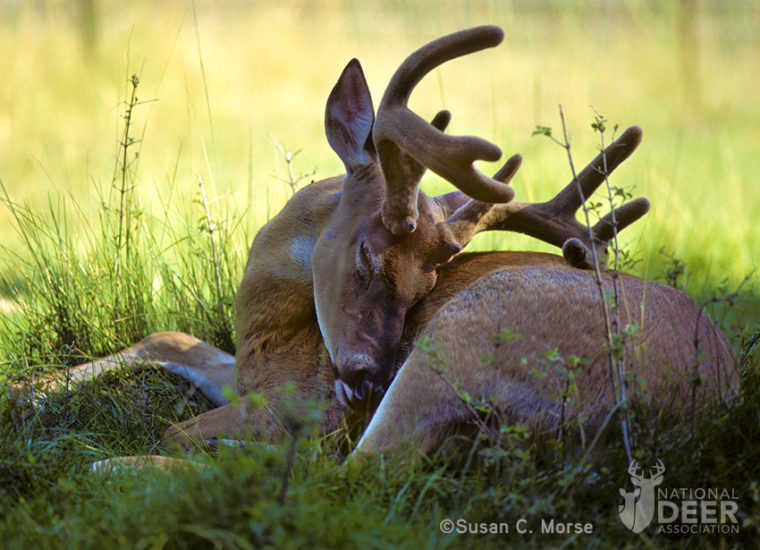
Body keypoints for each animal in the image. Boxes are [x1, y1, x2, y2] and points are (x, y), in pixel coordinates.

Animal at [11, 27, 732, 470]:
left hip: (468, 334)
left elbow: (181, 423)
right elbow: (170, 336)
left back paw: (117, 464)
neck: (268, 332)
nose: (366, 380)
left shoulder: (306, 398)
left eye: (425, 286)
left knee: (348, 475)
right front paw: (23, 389)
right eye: (365, 256)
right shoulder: (256, 374)